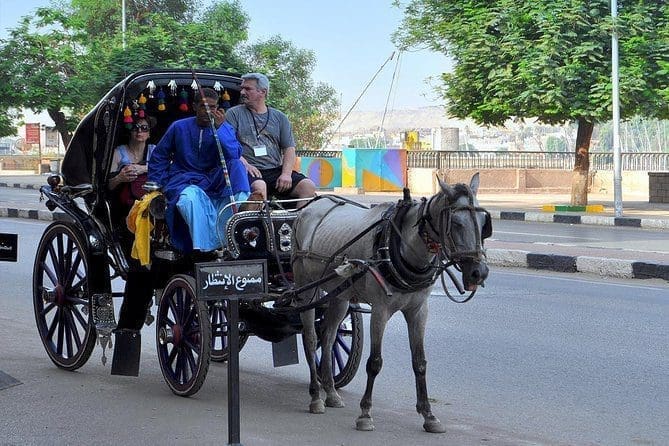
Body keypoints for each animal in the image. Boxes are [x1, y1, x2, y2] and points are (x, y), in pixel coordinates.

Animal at [290, 173, 488, 432]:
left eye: (483, 223)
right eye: (455, 223)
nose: (479, 272)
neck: (402, 248)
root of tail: (308, 208)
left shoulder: (419, 311)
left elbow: (420, 362)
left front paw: (429, 415)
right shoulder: (380, 310)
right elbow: (374, 362)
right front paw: (365, 414)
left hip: (338, 296)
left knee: (329, 336)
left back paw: (331, 392)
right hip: (306, 288)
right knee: (311, 339)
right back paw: (315, 396)